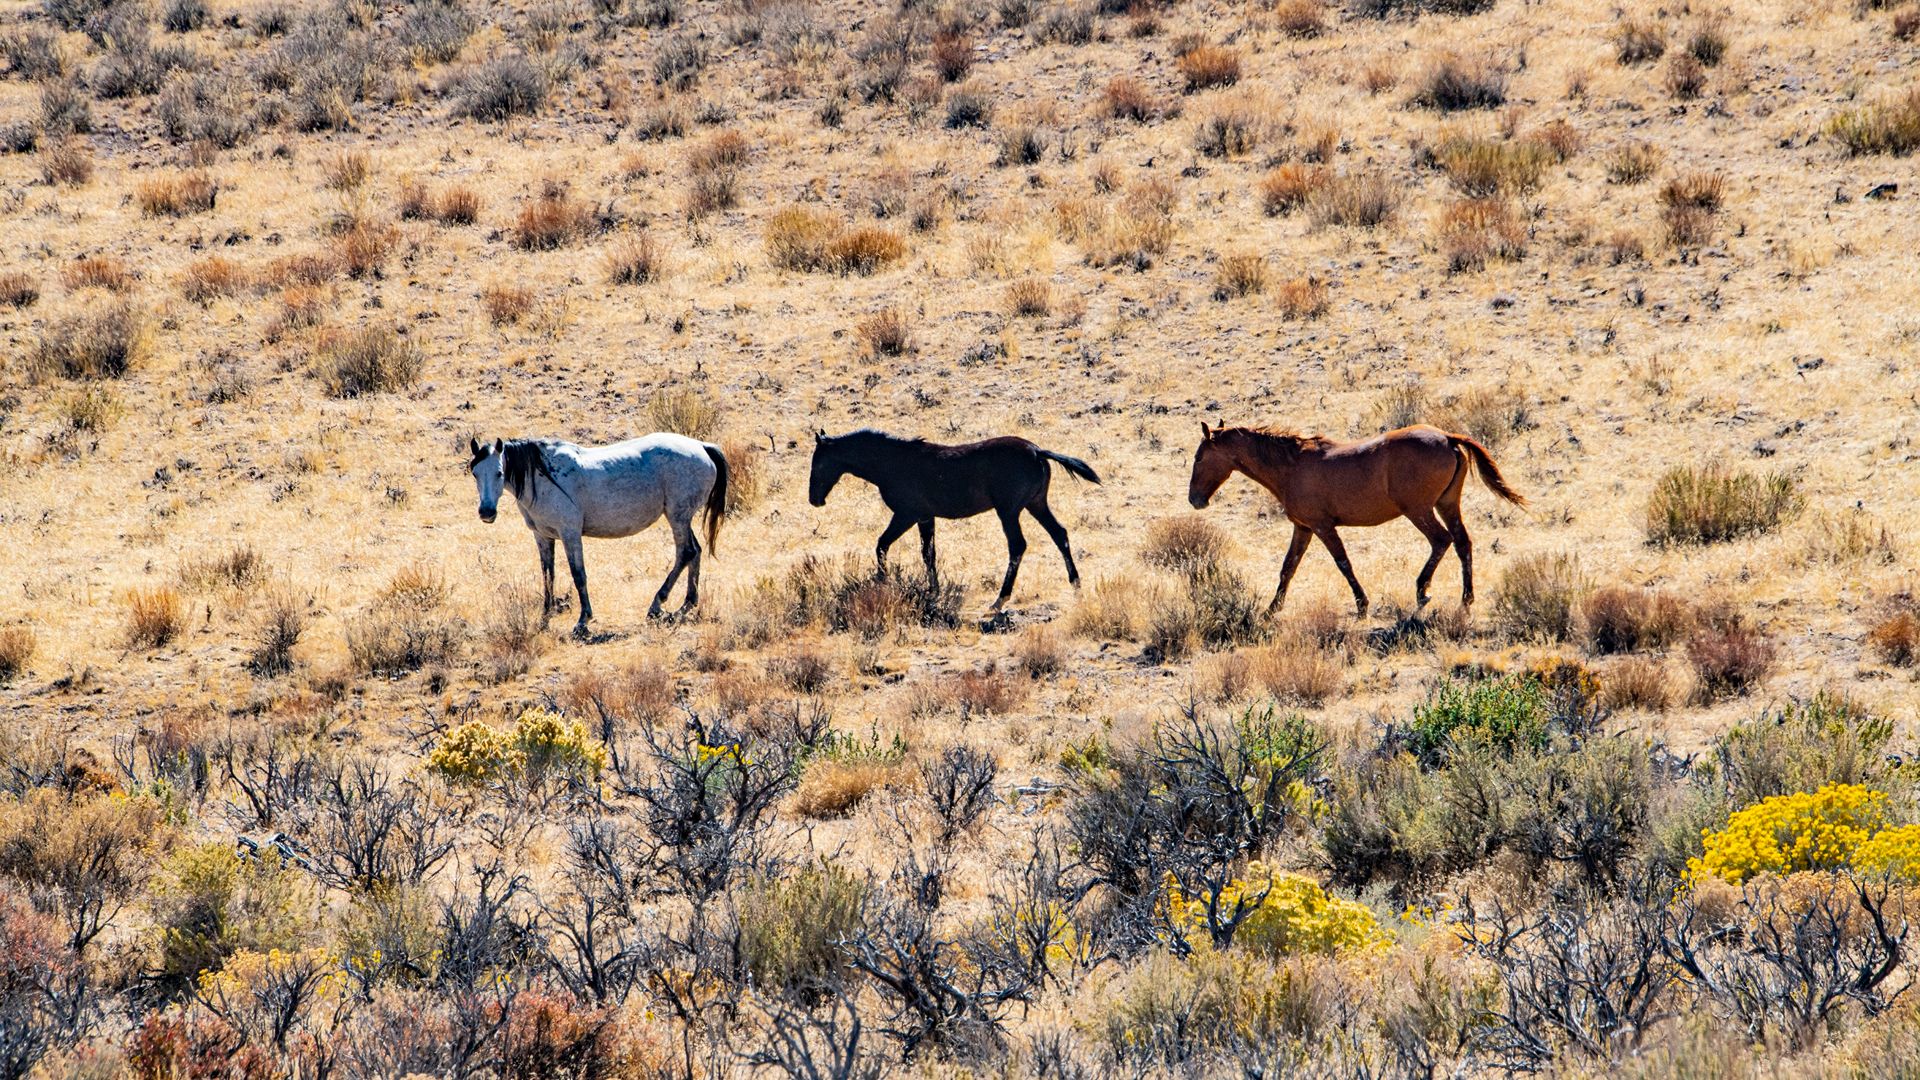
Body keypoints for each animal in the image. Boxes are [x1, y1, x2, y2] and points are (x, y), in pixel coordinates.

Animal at [468, 434, 728, 633]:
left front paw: (583, 620)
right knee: (695, 552)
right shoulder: (543, 536)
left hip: (677, 516)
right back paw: (686, 605)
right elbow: (547, 575)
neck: (543, 477)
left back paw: (657, 605)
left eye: (499, 472)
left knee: (686, 552)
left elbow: (578, 574)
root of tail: (702, 447)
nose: (487, 512)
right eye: (475, 473)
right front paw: (545, 614)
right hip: (682, 518)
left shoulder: (570, 533)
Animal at [807, 429, 1101, 610]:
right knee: (1059, 534)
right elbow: (928, 553)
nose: (814, 499)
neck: (892, 463)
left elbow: (882, 544)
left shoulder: (906, 515)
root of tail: (1037, 451)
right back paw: (1076, 585)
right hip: (1035, 504)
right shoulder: (925, 518)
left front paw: (882, 580)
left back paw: (1000, 599)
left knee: (1018, 545)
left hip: (1009, 511)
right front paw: (933, 589)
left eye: (818, 464)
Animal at [1187, 422, 1524, 618]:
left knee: (1442, 540)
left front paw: (1362, 605)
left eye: (1199, 458)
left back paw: (1422, 592)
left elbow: (1343, 563)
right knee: (1462, 542)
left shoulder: (1322, 527)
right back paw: (1466, 599)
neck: (1291, 466)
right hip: (1446, 504)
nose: (1195, 499)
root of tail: (1447, 437)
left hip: (1419, 510)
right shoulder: (1303, 528)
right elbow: (1288, 568)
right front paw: (1272, 610)